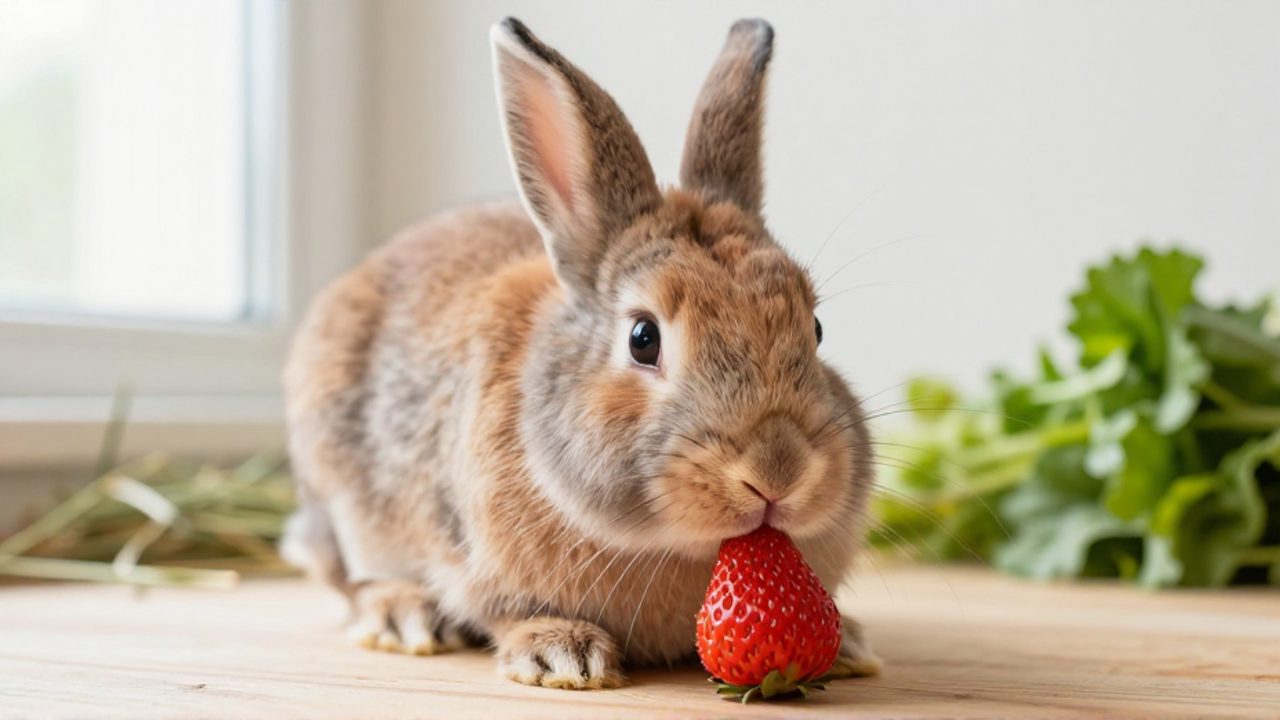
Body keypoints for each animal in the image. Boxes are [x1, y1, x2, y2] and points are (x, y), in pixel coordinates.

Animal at [281, 16, 881, 690]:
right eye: (643, 339)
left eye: (817, 328)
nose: (778, 470)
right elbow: (505, 613)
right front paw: (563, 656)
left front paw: (851, 646)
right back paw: (404, 617)